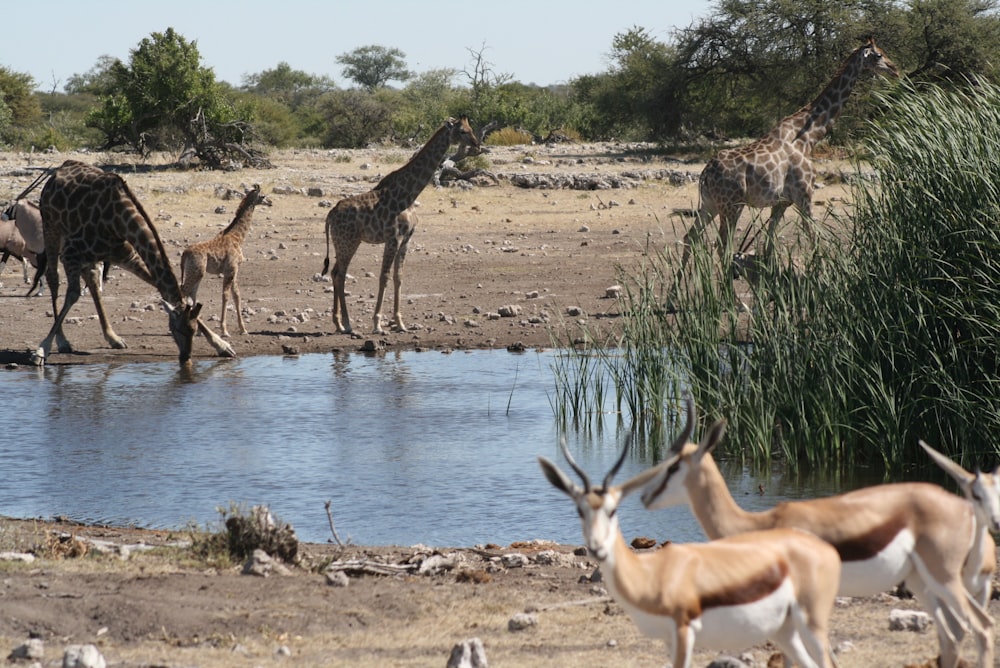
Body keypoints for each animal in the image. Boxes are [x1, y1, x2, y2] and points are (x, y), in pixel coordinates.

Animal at [31, 160, 236, 368]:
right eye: (175, 330)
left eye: (193, 331)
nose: (186, 358)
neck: (119, 222)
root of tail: (60, 169)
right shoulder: (71, 253)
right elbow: (73, 294)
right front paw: (42, 349)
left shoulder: (126, 255)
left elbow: (164, 288)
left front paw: (222, 345)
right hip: (51, 228)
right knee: (53, 278)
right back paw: (62, 341)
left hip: (88, 256)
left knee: (92, 281)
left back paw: (113, 338)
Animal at [178, 184, 268, 336]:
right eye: (263, 196)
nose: (271, 202)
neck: (238, 238)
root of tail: (184, 254)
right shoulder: (231, 268)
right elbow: (225, 295)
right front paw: (224, 330)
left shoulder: (234, 270)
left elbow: (236, 295)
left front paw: (243, 329)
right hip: (196, 271)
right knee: (184, 290)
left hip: (197, 273)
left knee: (192, 294)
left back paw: (198, 329)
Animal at [320, 116, 476, 334]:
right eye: (462, 131)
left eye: (471, 128)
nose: (477, 144)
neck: (409, 195)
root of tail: (330, 214)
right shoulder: (392, 238)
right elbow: (384, 276)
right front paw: (377, 324)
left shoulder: (406, 239)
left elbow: (398, 276)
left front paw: (400, 323)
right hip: (347, 242)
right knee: (340, 274)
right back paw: (347, 324)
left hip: (345, 243)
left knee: (335, 273)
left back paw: (339, 323)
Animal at [672, 37, 900, 286]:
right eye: (878, 54)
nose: (895, 69)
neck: (809, 138)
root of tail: (704, 175)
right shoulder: (804, 195)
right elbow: (814, 236)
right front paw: (825, 279)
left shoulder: (782, 203)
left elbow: (770, 245)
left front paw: (771, 282)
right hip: (732, 206)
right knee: (722, 245)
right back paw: (724, 293)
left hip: (709, 204)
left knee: (690, 237)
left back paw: (676, 294)